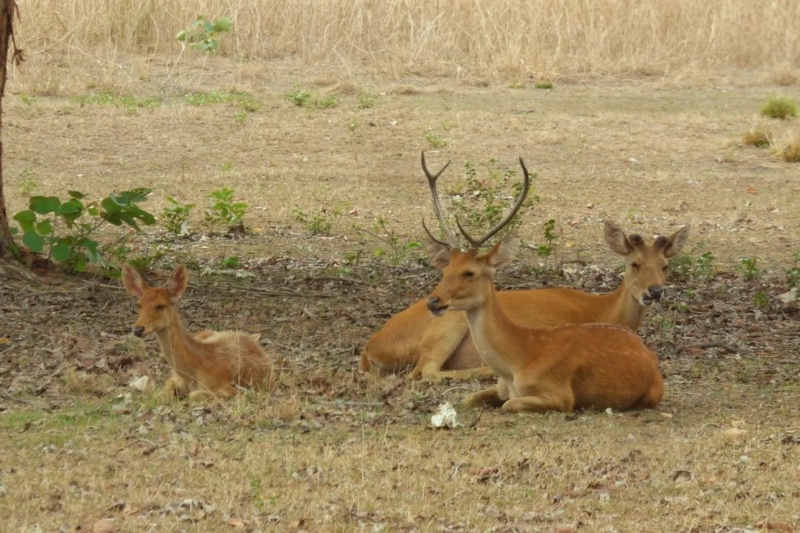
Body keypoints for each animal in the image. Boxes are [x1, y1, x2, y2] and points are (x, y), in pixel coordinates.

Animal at [120, 264, 274, 396]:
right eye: (139, 305)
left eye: (160, 305)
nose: (138, 329)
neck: (193, 372)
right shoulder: (174, 378)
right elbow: (164, 391)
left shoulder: (228, 387)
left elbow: (194, 396)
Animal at [358, 152, 688, 380]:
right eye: (634, 263)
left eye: (665, 265)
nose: (654, 291)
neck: (601, 312)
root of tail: (370, 347)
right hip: (446, 324)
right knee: (424, 371)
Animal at [424, 156, 664, 414]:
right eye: (445, 270)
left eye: (470, 272)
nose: (433, 301)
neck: (517, 361)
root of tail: (651, 356)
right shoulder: (500, 388)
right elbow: (469, 399)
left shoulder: (560, 396)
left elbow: (508, 405)